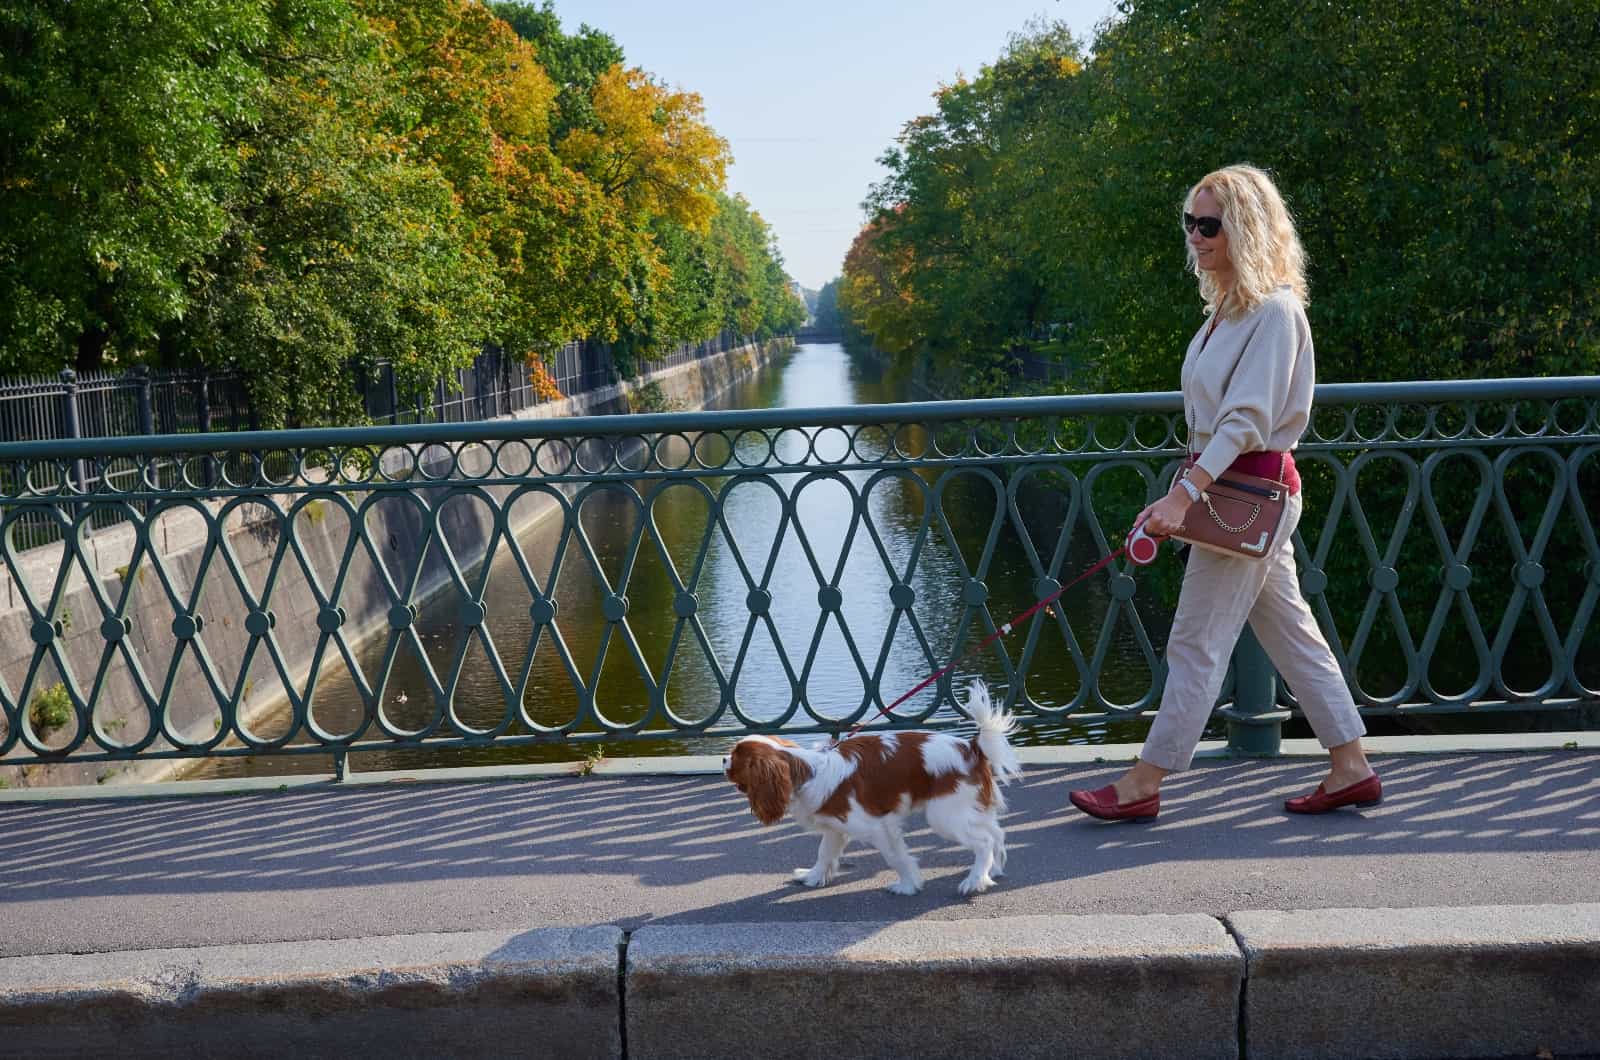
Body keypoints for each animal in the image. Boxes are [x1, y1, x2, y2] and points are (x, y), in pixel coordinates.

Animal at [720, 685, 1017, 903]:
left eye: (735, 758)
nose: (722, 759)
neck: (807, 770)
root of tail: (972, 748)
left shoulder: (879, 827)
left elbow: (896, 857)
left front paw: (908, 885)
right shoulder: (835, 827)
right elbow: (824, 853)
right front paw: (812, 877)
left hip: (944, 815)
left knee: (983, 842)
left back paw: (975, 880)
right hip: (967, 808)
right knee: (996, 833)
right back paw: (993, 871)